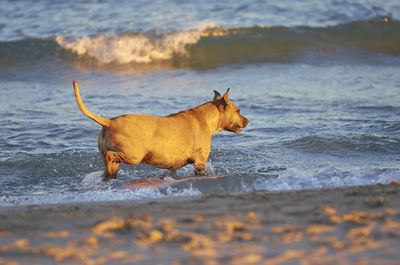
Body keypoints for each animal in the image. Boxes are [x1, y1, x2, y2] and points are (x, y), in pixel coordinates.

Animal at [72, 80, 247, 179]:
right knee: (110, 155)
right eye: (238, 111)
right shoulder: (200, 163)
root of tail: (109, 122)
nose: (247, 121)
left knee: (108, 165)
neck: (205, 118)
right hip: (133, 154)